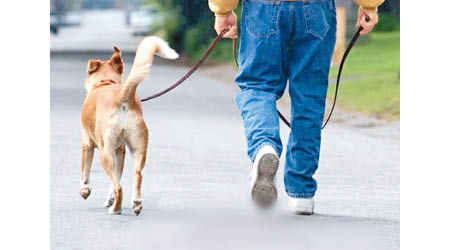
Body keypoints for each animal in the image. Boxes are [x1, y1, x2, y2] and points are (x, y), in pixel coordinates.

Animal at [79, 36, 178, 215]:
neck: (105, 82)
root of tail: (122, 97)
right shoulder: (121, 150)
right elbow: (117, 178)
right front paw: (109, 198)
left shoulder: (87, 145)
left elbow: (86, 171)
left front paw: (85, 190)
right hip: (138, 149)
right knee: (136, 175)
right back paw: (136, 203)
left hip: (105, 153)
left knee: (119, 187)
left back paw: (116, 209)